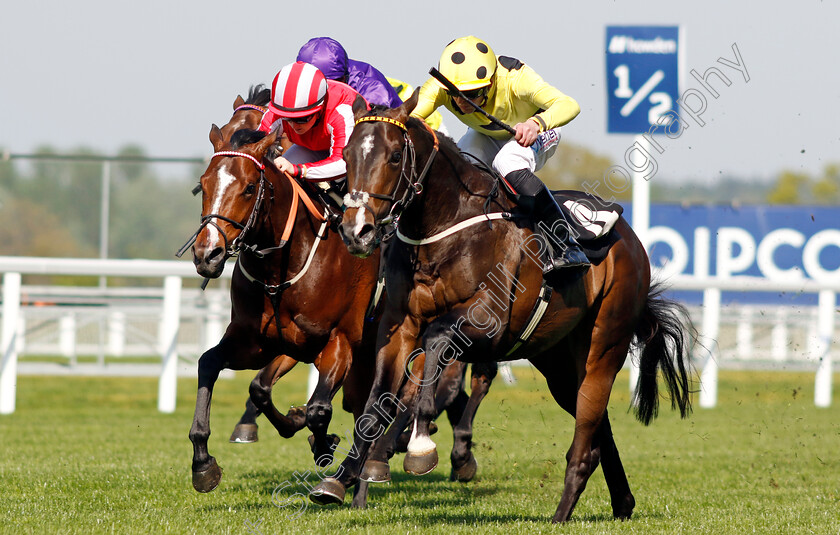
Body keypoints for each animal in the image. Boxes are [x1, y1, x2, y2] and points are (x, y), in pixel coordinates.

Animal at [312, 93, 692, 524]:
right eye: (346, 154)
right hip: (558, 362)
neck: (444, 228)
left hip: (605, 346)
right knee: (596, 427)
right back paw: (622, 503)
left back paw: (560, 515)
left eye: (394, 156)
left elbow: (436, 344)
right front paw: (345, 477)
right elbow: (376, 402)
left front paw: (419, 446)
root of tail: (629, 238)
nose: (356, 231)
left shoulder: (488, 325)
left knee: (585, 438)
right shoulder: (399, 324)